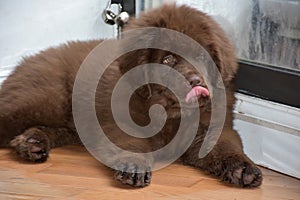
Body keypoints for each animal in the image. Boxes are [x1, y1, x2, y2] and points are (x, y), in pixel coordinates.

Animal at [0, 5, 262, 189]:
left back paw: (31, 143)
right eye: (168, 59)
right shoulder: (121, 124)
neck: (170, 113)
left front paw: (243, 170)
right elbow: (132, 144)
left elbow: (224, 146)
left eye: (200, 55)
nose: (197, 82)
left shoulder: (213, 127)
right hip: (42, 101)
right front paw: (134, 167)